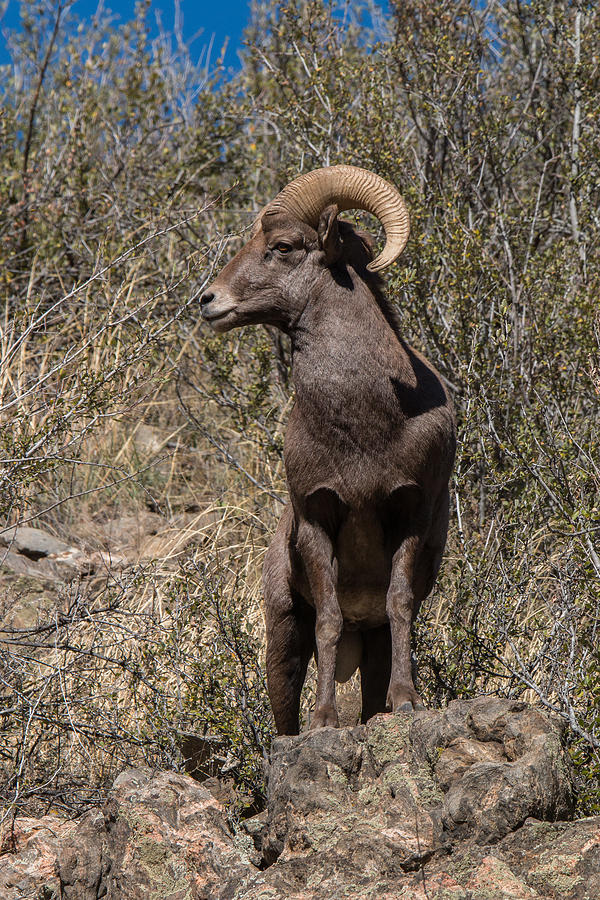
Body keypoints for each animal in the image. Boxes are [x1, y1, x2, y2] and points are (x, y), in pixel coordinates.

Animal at [200, 167, 454, 732]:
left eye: (283, 246)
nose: (208, 301)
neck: (364, 425)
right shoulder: (318, 519)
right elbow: (331, 619)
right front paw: (324, 721)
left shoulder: (411, 515)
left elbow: (400, 605)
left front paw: (408, 701)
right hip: (283, 644)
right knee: (284, 716)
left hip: (370, 644)